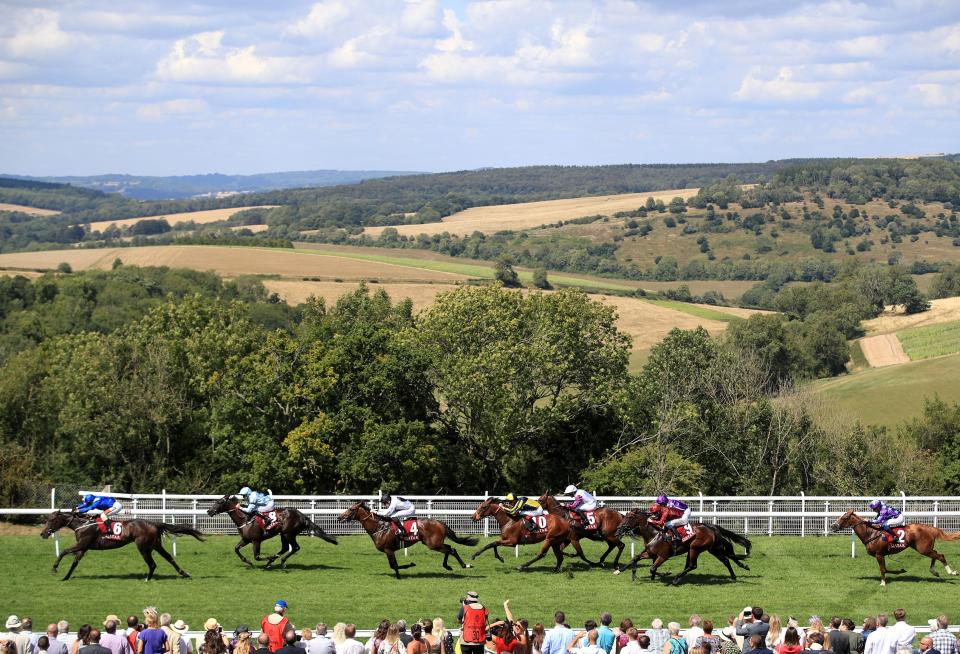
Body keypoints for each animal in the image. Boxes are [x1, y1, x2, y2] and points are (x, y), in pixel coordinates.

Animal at [39, 510, 204, 580]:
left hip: (143, 547)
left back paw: (147, 579)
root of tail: (154, 524)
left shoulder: (82, 543)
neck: (83, 524)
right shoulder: (83, 547)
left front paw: (54, 569)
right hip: (156, 545)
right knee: (169, 557)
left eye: (51, 520)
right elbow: (74, 562)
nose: (43, 533)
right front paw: (65, 577)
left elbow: (64, 551)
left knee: (152, 564)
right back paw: (184, 573)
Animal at [206, 494, 338, 572]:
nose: (208, 511)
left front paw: (268, 558)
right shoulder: (246, 539)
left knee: (295, 547)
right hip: (283, 535)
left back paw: (279, 561)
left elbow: (257, 556)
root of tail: (302, 516)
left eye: (219, 502)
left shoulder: (256, 540)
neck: (245, 518)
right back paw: (273, 561)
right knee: (285, 548)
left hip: (288, 534)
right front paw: (248, 562)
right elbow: (236, 549)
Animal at [336, 502, 478, 580]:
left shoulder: (389, 550)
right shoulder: (389, 551)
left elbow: (394, 565)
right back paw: (448, 566)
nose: (339, 517)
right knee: (449, 548)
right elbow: (393, 565)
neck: (379, 527)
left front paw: (405, 570)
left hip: (433, 544)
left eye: (352, 509)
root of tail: (440, 522)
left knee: (451, 549)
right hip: (434, 543)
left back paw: (464, 565)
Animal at [612, 510, 752, 588]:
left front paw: (666, 573)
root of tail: (710, 527)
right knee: (727, 560)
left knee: (692, 565)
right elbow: (635, 558)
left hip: (695, 548)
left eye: (629, 517)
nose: (618, 529)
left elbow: (652, 568)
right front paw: (623, 571)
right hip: (712, 549)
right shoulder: (650, 553)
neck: (654, 533)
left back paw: (676, 579)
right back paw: (735, 575)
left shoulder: (663, 556)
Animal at [828, 510, 960, 588]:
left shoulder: (879, 554)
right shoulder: (882, 555)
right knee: (936, 554)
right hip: (925, 548)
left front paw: (882, 583)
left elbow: (883, 569)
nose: (833, 526)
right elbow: (886, 569)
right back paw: (934, 571)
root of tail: (930, 528)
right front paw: (901, 571)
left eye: (844, 518)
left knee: (940, 555)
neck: (871, 533)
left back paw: (952, 572)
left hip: (923, 549)